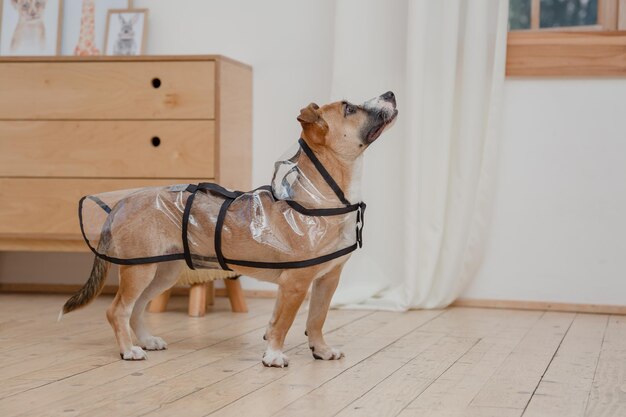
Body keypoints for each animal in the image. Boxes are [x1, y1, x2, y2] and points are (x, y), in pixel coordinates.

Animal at [62, 92, 394, 368]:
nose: (390, 93)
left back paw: (145, 341)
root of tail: (123, 202)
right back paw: (128, 350)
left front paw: (321, 350)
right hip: (139, 271)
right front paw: (274, 355)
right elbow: (283, 323)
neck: (319, 196)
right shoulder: (295, 284)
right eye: (349, 108)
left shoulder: (327, 279)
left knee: (138, 308)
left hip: (162, 272)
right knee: (118, 310)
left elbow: (316, 318)